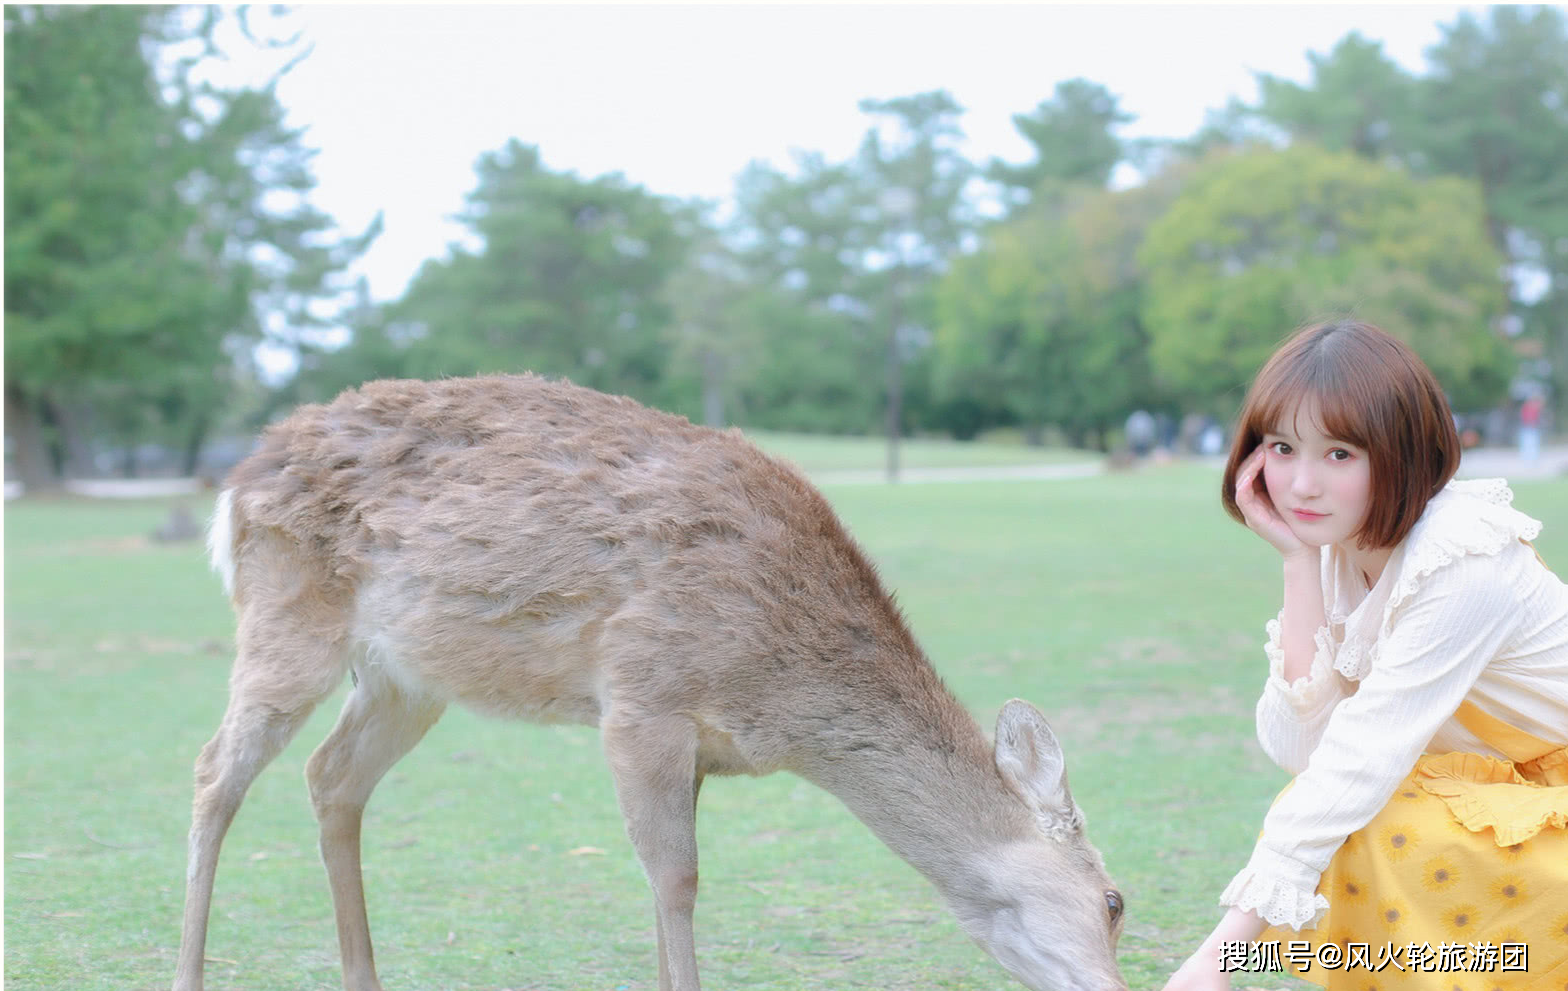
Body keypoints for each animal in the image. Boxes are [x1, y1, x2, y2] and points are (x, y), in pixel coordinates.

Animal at [171, 373, 1128, 991]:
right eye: (1116, 899)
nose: (1118, 988)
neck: (783, 696)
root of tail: (234, 483)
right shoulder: (642, 697)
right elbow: (676, 879)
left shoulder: (698, 745)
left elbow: (667, 881)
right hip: (287, 615)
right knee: (216, 767)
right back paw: (188, 972)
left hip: (407, 677)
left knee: (331, 775)